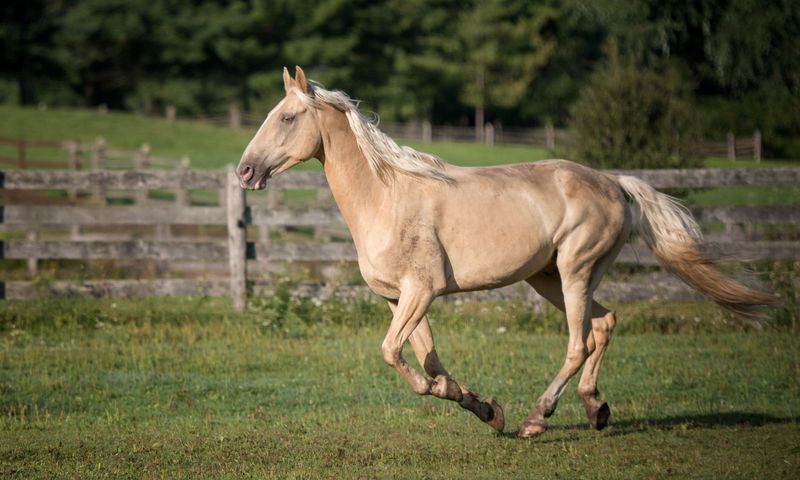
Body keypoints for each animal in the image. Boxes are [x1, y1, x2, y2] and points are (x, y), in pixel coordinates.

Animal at [238, 66, 776, 438]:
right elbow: (427, 360)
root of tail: (614, 183)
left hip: (575, 271)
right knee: (605, 324)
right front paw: (483, 407)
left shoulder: (421, 291)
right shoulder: (399, 299)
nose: (245, 171)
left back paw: (538, 418)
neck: (385, 196)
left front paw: (474, 404)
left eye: (287, 117)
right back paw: (595, 410)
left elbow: (395, 354)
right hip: (547, 278)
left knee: (579, 341)